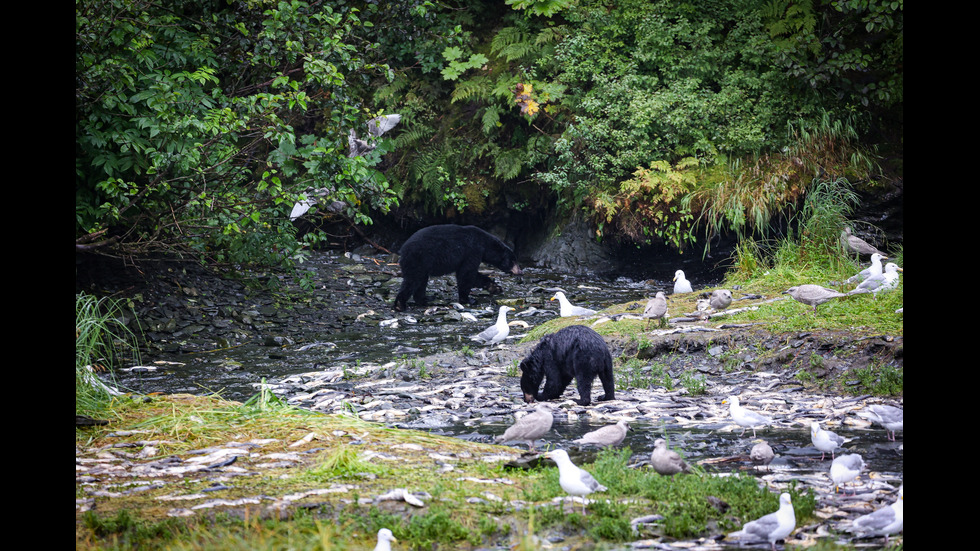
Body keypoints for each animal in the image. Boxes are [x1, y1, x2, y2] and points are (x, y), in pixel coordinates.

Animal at [394, 223, 524, 310]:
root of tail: (402, 250)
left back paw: (425, 299)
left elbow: (473, 275)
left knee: (421, 281)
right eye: (513, 260)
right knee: (413, 280)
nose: (520, 271)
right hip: (418, 260)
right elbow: (467, 274)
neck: (484, 244)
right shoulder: (472, 251)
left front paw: (495, 287)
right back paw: (400, 305)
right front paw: (469, 299)